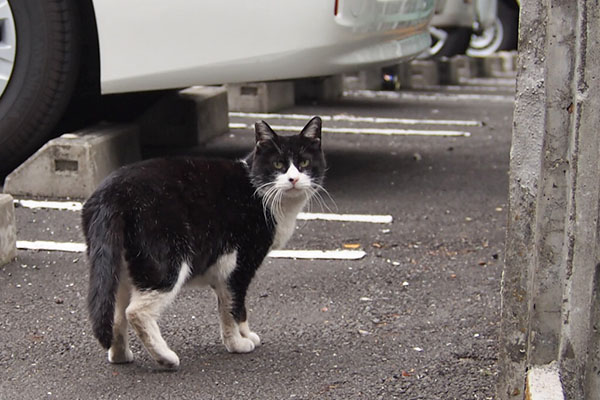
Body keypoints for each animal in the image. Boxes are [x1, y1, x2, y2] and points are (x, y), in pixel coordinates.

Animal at [81, 115, 326, 368]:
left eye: (304, 163)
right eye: (278, 165)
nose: (293, 179)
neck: (262, 196)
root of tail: (112, 194)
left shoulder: (224, 271)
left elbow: (229, 307)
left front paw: (244, 335)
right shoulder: (239, 264)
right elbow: (235, 307)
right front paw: (238, 344)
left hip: (120, 266)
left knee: (115, 311)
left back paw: (120, 355)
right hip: (168, 260)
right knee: (136, 312)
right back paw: (166, 357)